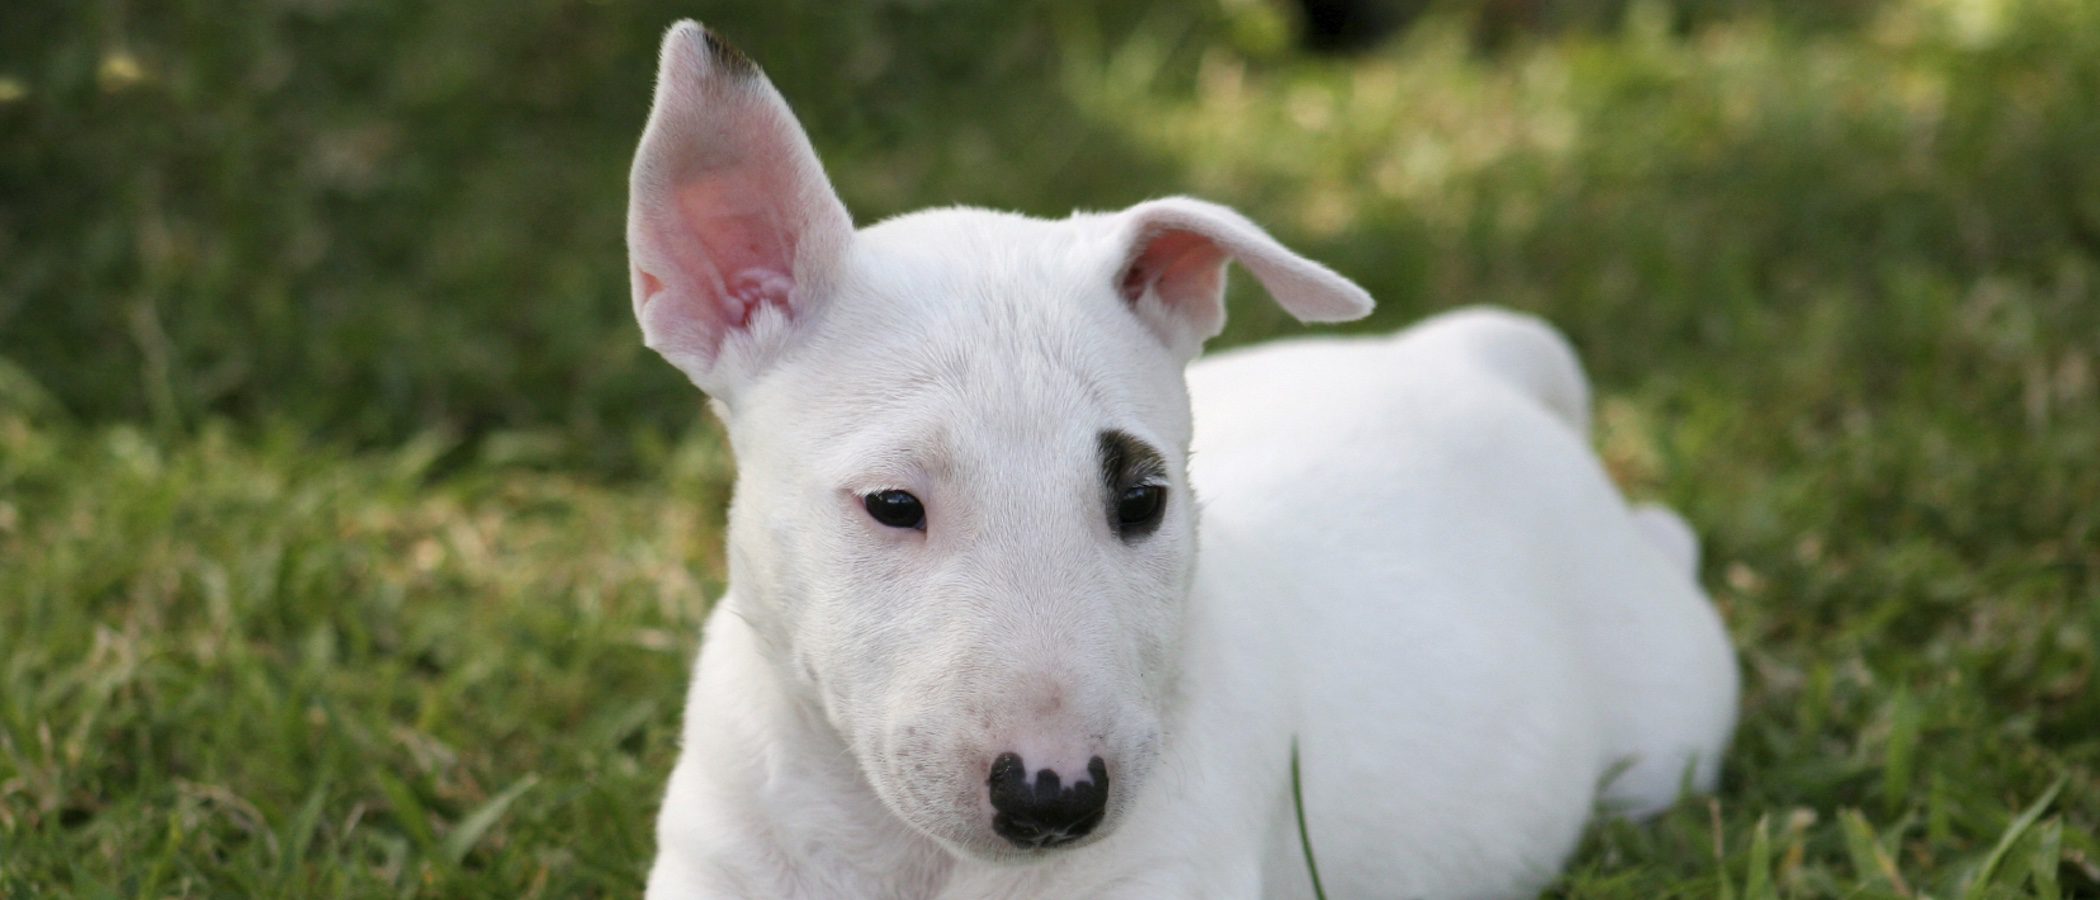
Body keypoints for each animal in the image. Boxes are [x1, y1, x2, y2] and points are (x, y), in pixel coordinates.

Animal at [625, 20, 1738, 897]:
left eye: (1143, 499)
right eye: (893, 503)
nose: (1056, 799)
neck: (910, 855)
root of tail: (1469, 361)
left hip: (1665, 716)